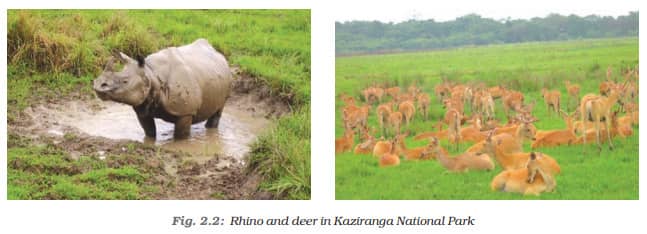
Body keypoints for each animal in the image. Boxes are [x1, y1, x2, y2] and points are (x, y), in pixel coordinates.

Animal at [92, 38, 232, 139]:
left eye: (125, 81)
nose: (98, 85)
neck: (151, 74)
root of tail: (218, 53)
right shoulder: (142, 106)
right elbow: (149, 131)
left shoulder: (185, 112)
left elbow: (180, 137)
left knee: (218, 110)